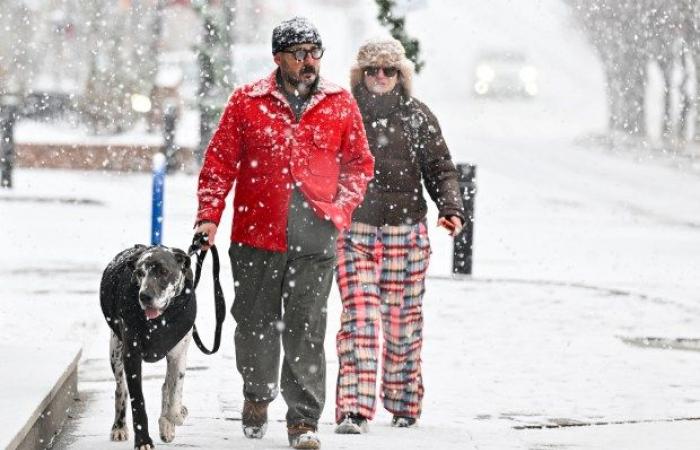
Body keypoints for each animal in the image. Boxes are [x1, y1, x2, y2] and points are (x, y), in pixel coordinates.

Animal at [100, 244, 197, 448]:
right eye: (139, 273)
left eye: (163, 271)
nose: (145, 296)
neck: (159, 321)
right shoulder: (131, 356)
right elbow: (137, 401)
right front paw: (143, 440)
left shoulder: (178, 354)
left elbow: (174, 395)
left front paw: (171, 419)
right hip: (116, 353)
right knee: (121, 390)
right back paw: (119, 427)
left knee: (166, 386)